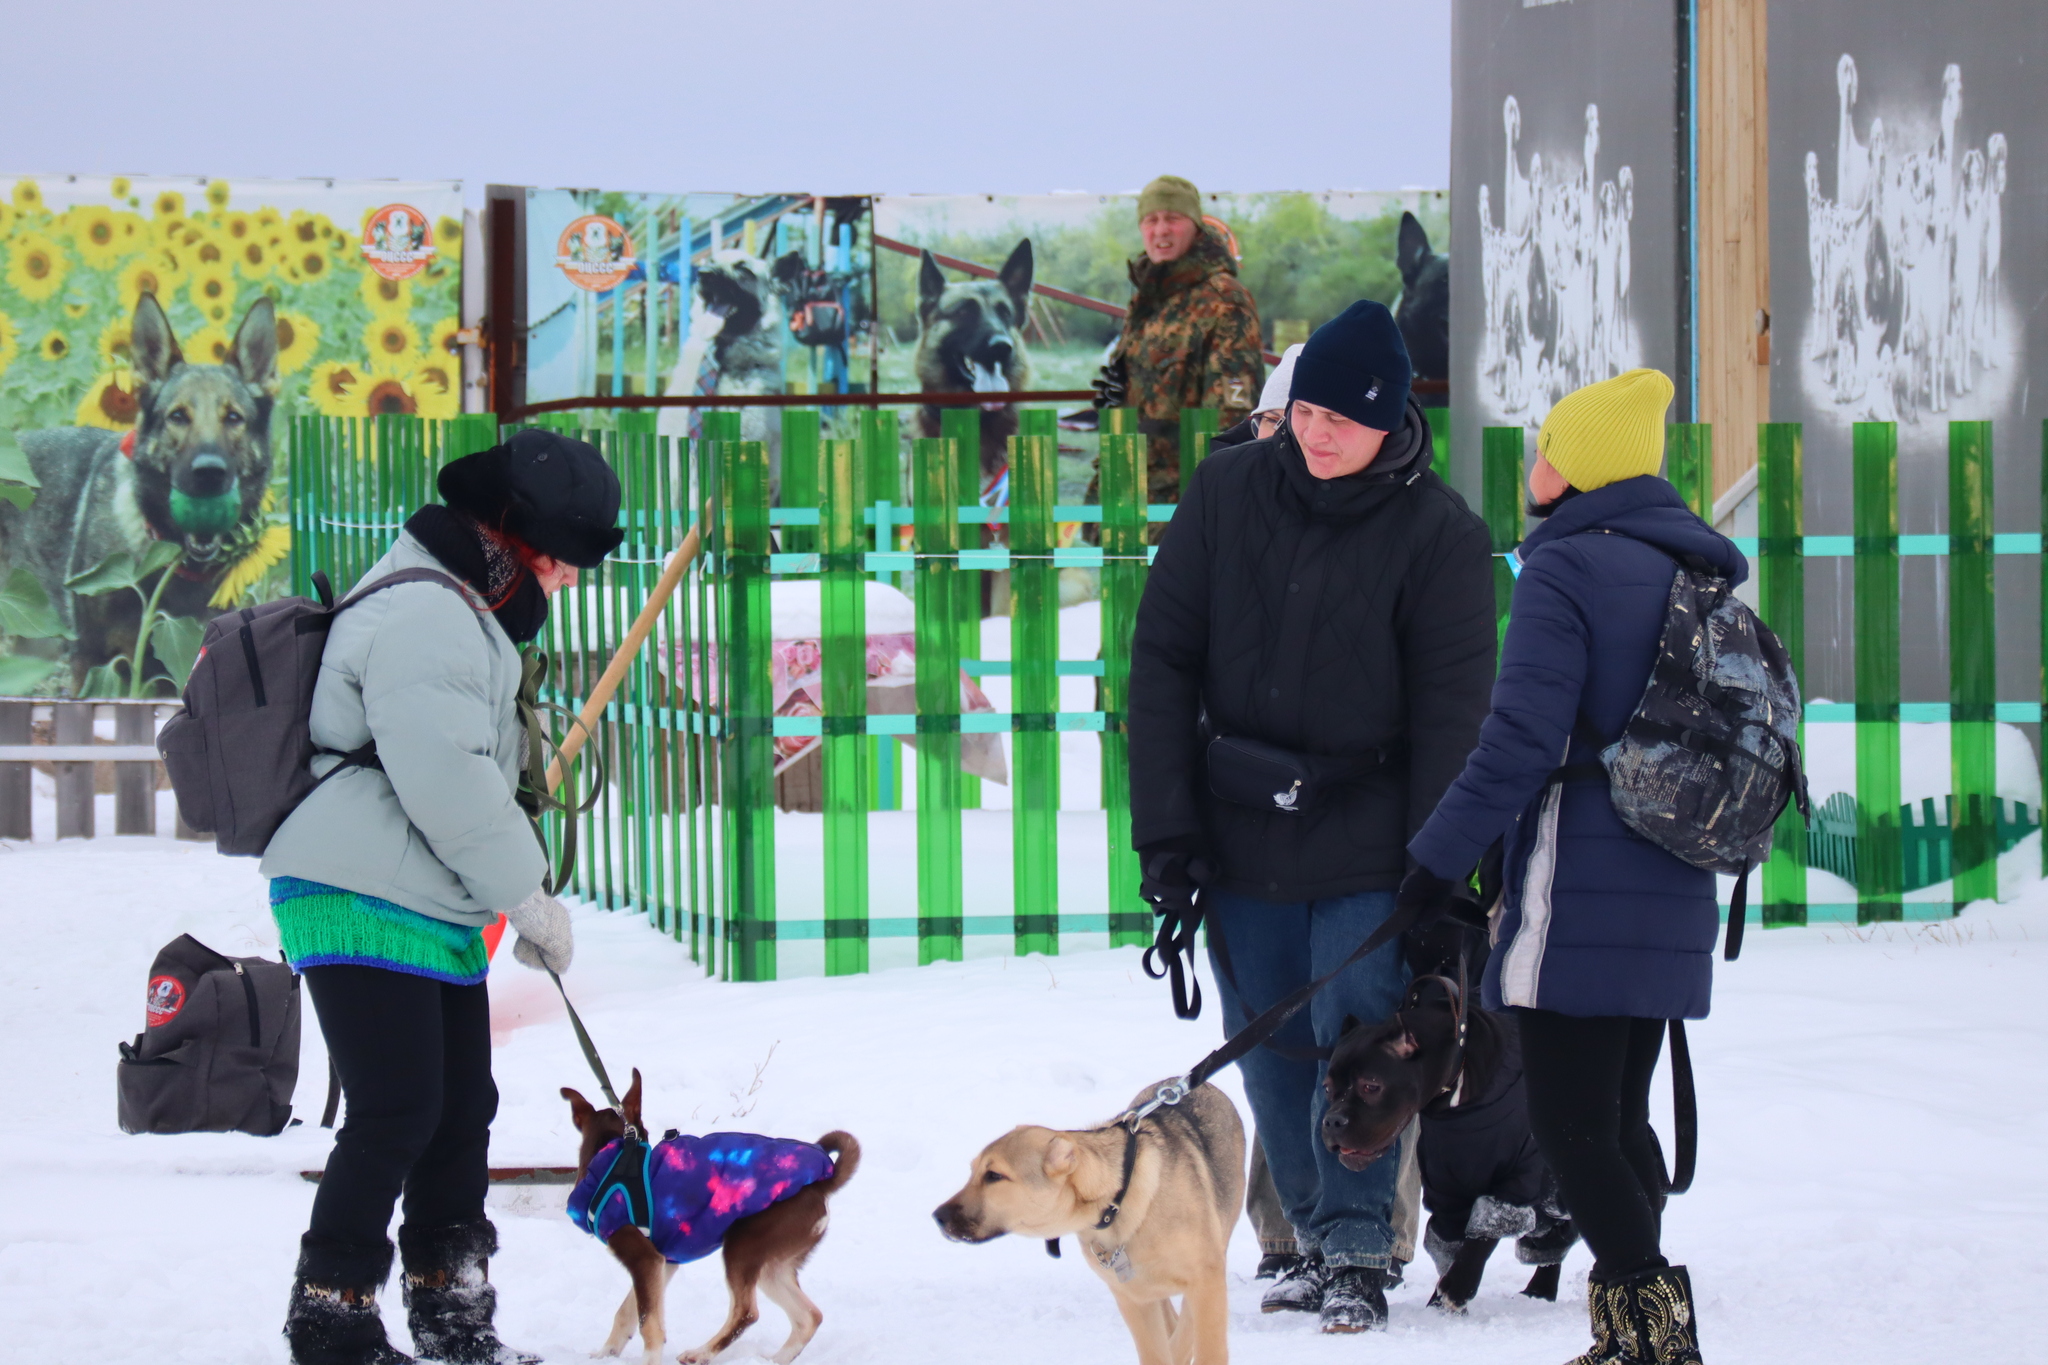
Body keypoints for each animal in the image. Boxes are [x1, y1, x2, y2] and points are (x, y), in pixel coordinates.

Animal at [557, 1072, 860, 1365]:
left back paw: (700, 1353)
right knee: (809, 1316)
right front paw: (605, 1354)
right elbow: (627, 1313)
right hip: (772, 1267)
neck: (613, 1156)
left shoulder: (643, 1258)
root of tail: (821, 1184)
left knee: (747, 1312)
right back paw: (774, 1360)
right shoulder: (662, 1262)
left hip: (742, 1247)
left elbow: (649, 1325)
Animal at [933, 1080, 1245, 1365]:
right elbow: (1158, 1351)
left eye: (994, 1176)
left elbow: (1203, 1345)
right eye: (973, 1171)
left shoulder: (1206, 1281)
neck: (1116, 1204)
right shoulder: (1133, 1298)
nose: (937, 1216)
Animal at [1318, 970, 1572, 1309]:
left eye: (1370, 1086)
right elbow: (1451, 1244)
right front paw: (1440, 1303)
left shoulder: (1517, 1178)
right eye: (1327, 1087)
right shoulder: (1448, 1187)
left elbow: (1484, 1234)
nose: (1332, 1121)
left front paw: (1457, 1288)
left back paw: (1544, 1286)